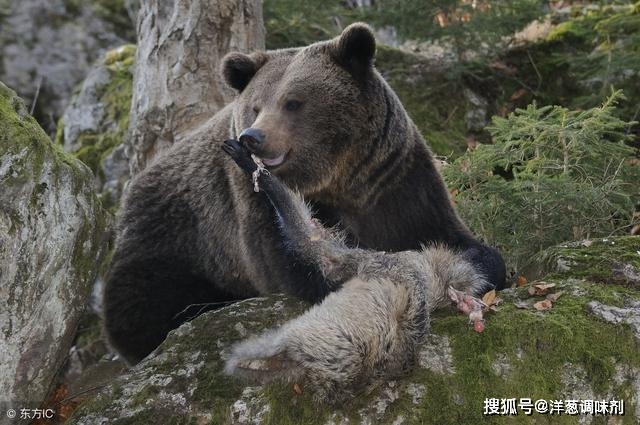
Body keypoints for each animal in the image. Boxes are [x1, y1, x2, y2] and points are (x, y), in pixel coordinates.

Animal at [104, 23, 504, 362]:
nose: (252, 137)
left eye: (293, 101)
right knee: (148, 300)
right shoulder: (246, 202)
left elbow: (444, 233)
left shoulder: (395, 180)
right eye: (256, 105)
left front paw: (482, 263)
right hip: (176, 240)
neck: (338, 180)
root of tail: (132, 188)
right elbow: (298, 263)